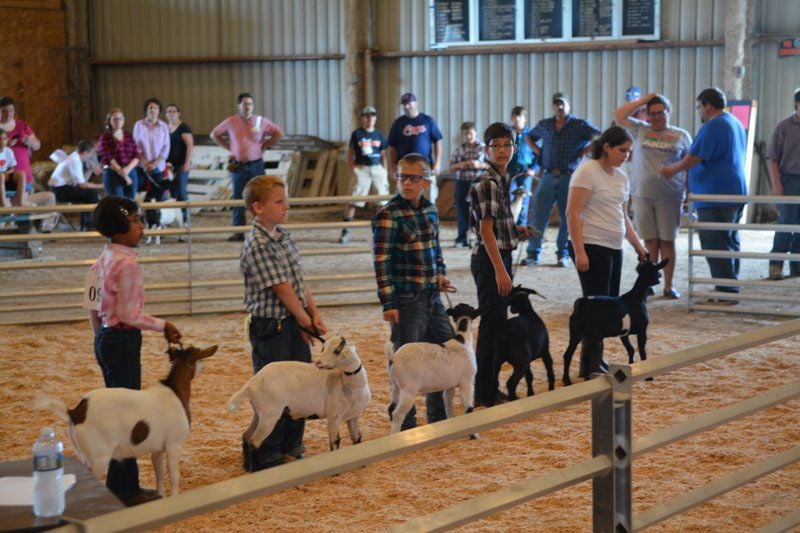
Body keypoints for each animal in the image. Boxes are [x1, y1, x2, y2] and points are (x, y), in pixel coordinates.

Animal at [34, 342, 217, 496]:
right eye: (198, 354)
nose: (205, 364)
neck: (175, 392)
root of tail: (75, 413)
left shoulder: (157, 449)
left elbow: (159, 474)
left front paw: (160, 496)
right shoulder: (174, 445)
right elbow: (174, 476)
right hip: (98, 459)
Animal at [227, 334, 370, 450]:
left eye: (336, 350)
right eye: (324, 348)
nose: (318, 362)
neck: (353, 386)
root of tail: (251, 383)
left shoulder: (354, 416)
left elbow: (357, 438)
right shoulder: (334, 416)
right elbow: (335, 443)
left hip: (259, 413)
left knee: (246, 437)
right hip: (269, 416)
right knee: (254, 442)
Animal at [384, 302, 478, 434]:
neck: (462, 341)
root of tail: (394, 357)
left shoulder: (450, 386)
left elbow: (449, 408)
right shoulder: (467, 383)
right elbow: (469, 409)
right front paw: (474, 434)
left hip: (396, 386)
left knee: (391, 410)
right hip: (409, 390)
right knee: (397, 414)